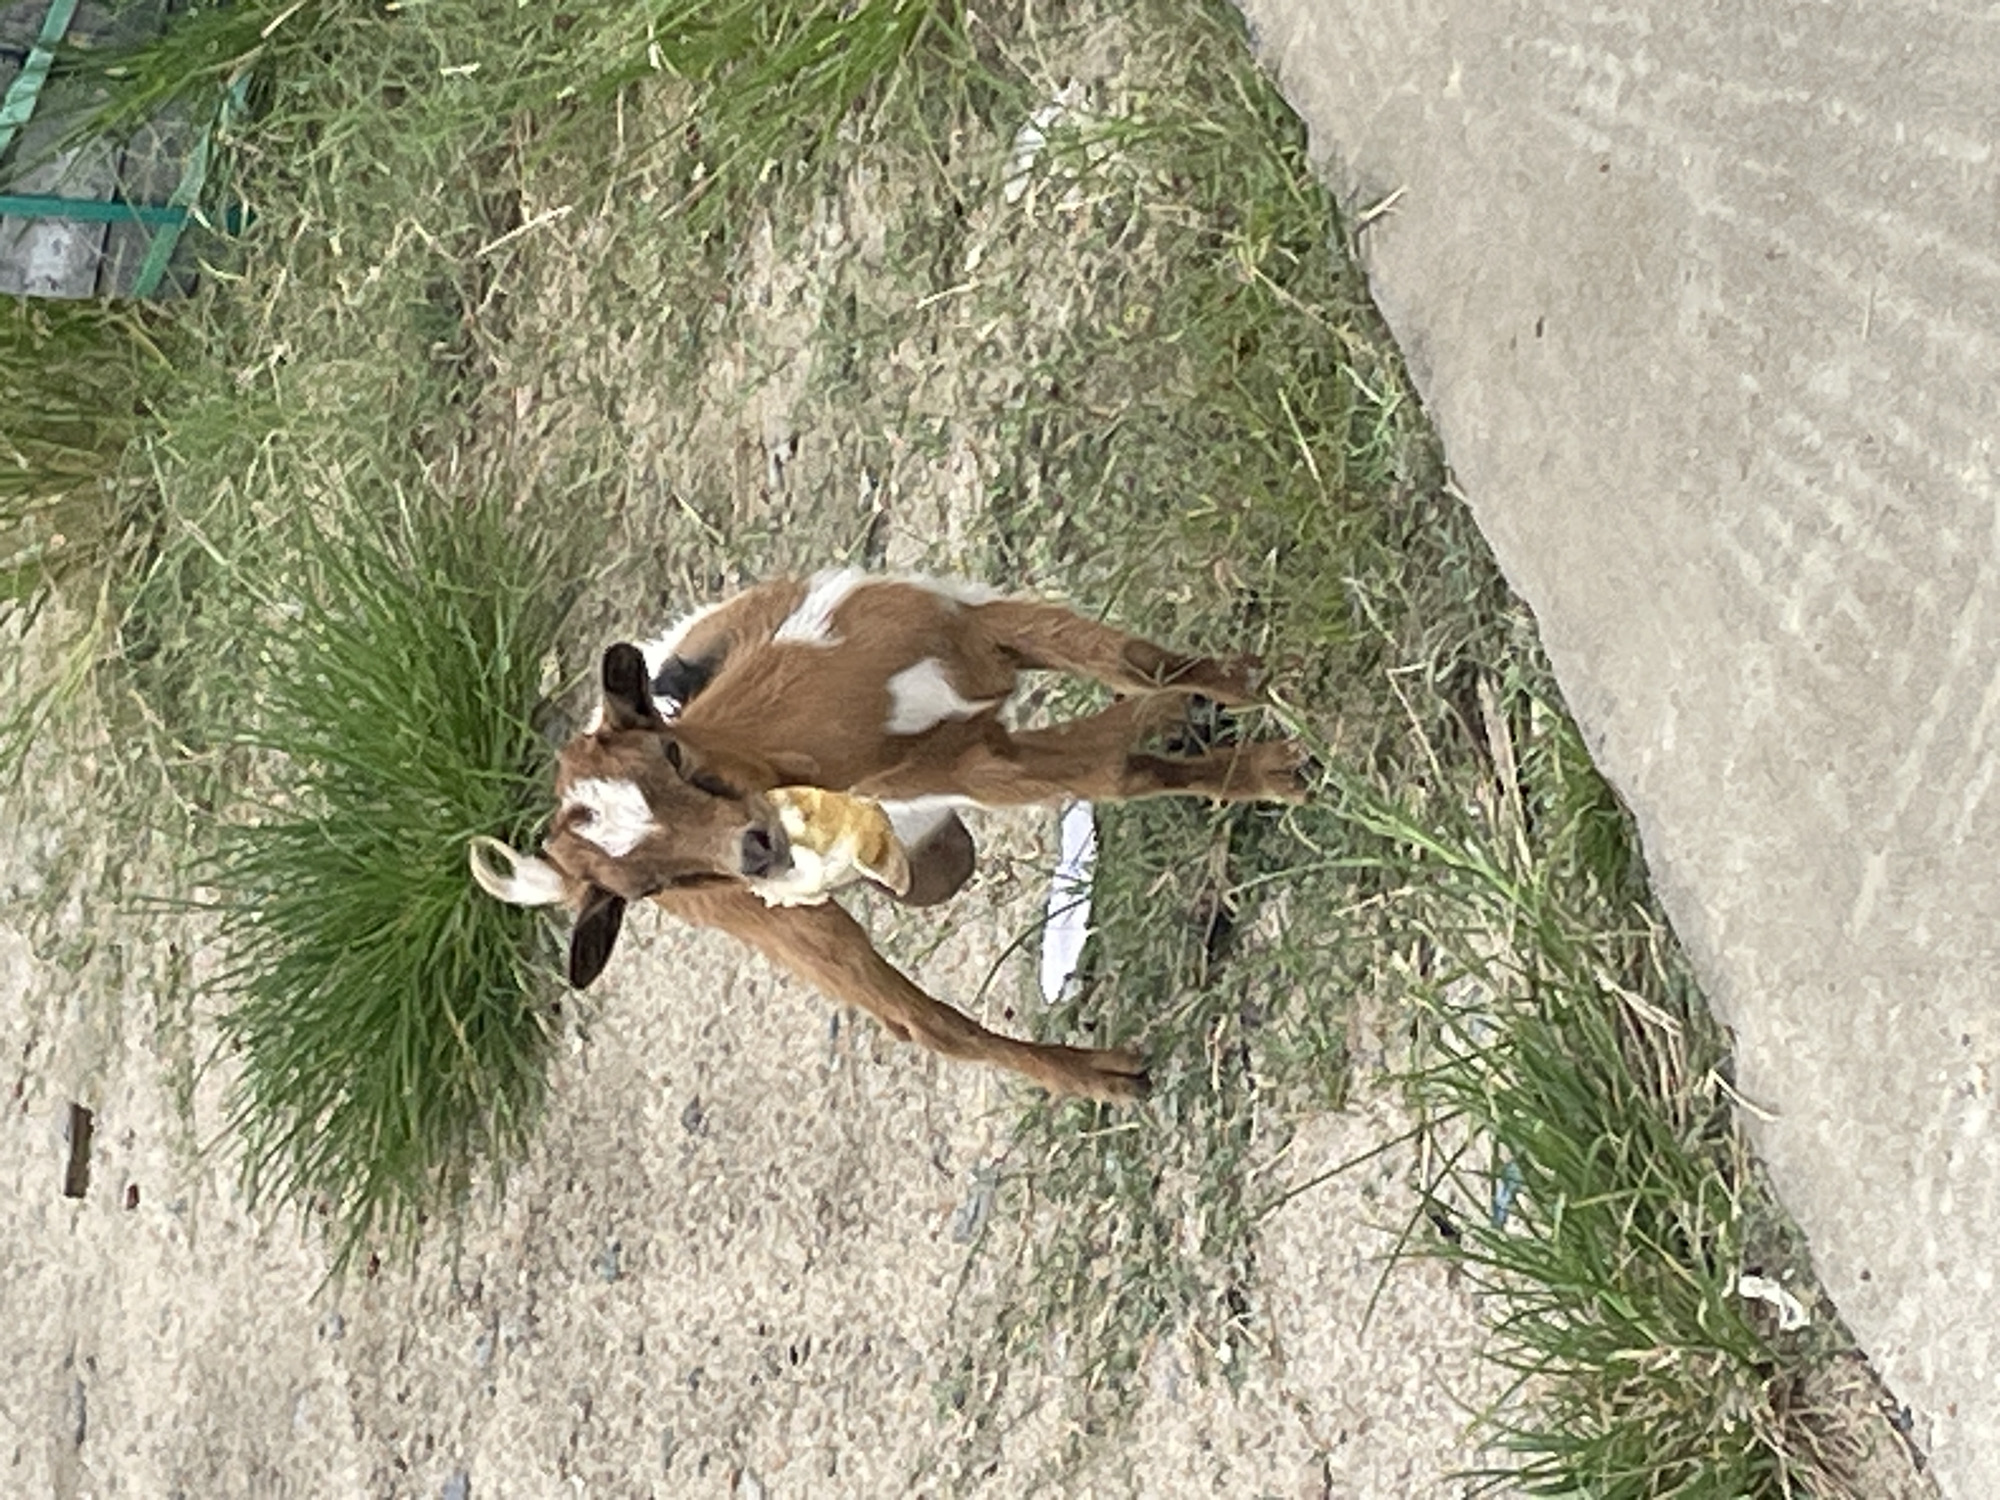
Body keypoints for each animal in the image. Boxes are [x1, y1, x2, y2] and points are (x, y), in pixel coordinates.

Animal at [472, 570, 1308, 1102]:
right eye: (654, 884)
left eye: (672, 755)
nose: (756, 852)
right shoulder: (978, 765)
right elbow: (1116, 767)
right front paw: (1275, 768)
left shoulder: (974, 621)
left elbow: (1136, 662)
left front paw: (1245, 680)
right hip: (796, 929)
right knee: (923, 1024)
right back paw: (1102, 1077)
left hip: (933, 857)